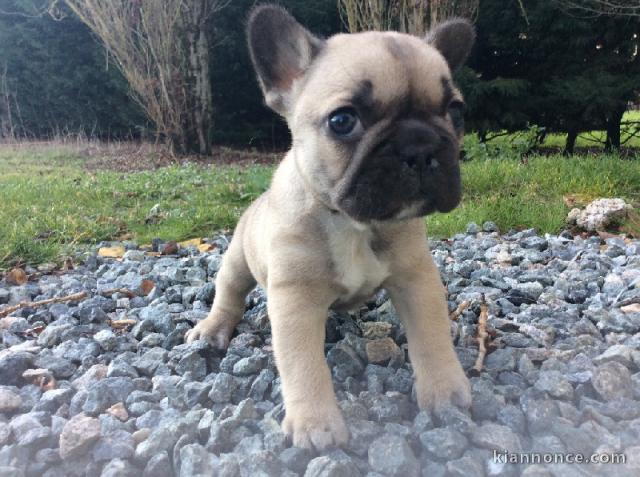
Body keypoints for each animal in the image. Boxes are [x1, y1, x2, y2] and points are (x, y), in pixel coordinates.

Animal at [185, 4, 476, 450]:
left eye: (455, 112)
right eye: (342, 121)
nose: (420, 146)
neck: (354, 224)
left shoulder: (416, 279)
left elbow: (432, 336)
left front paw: (444, 390)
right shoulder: (295, 300)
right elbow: (303, 364)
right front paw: (316, 423)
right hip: (237, 259)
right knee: (229, 293)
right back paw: (213, 329)